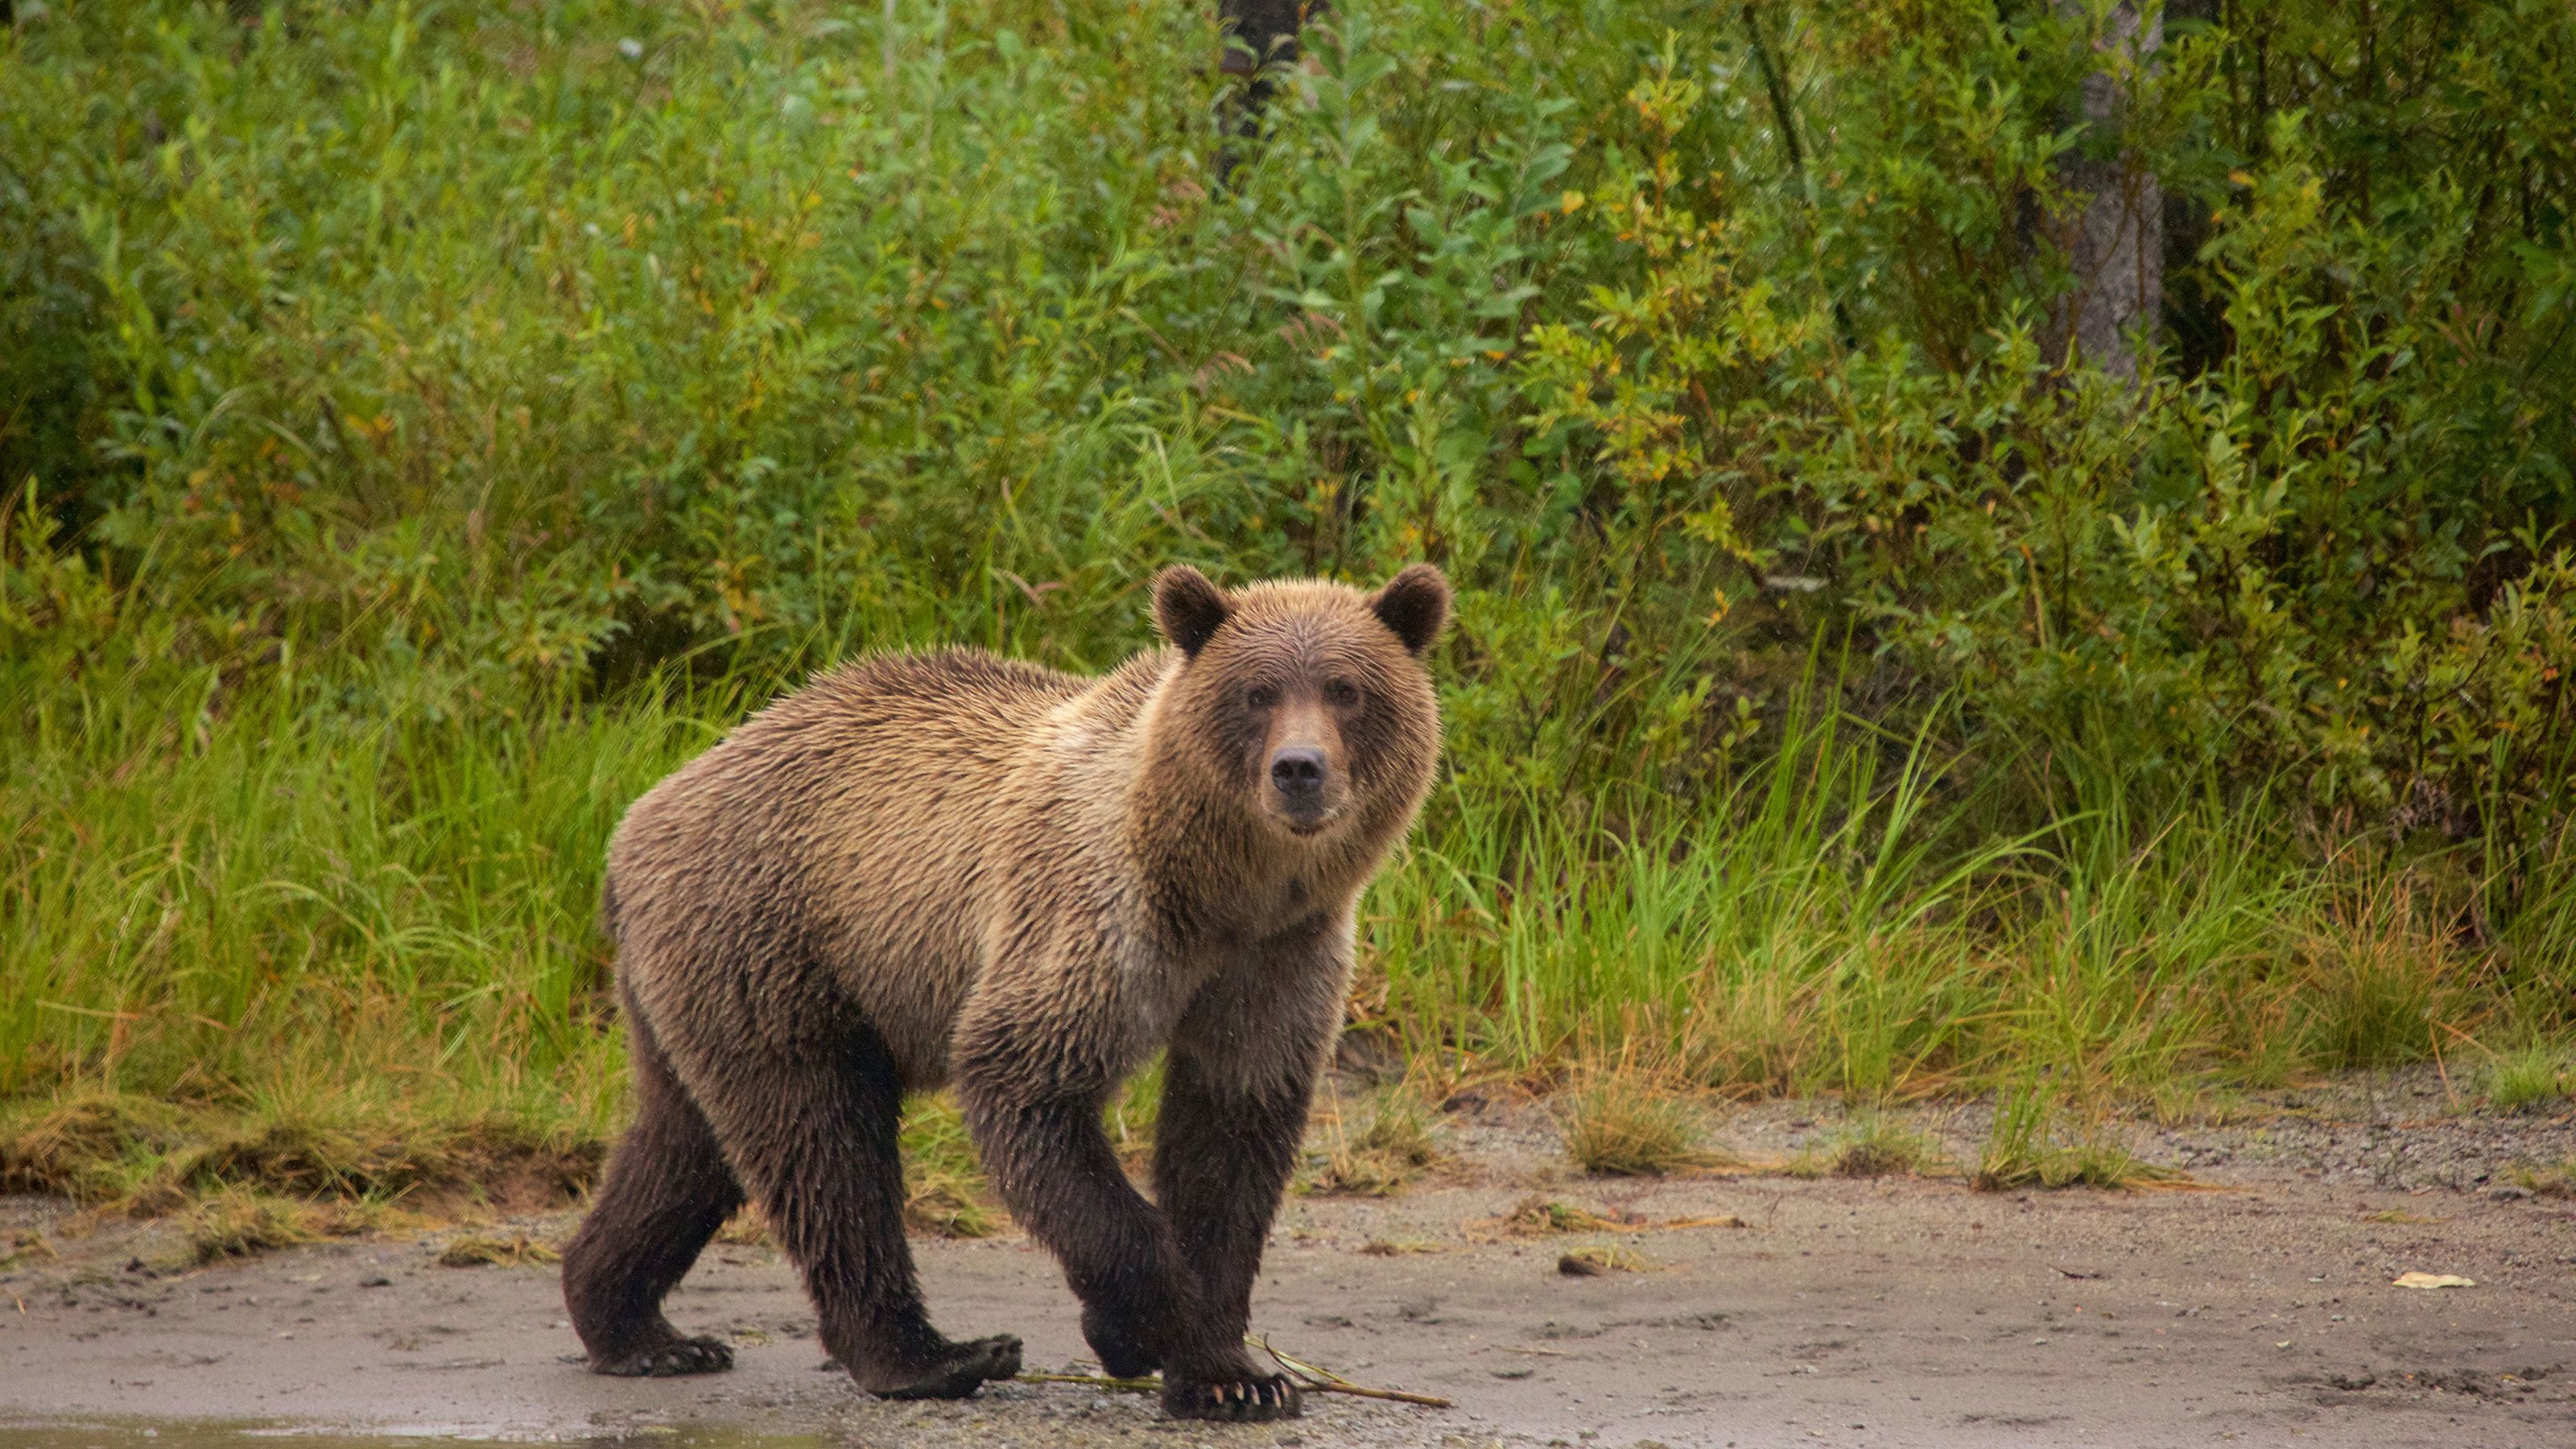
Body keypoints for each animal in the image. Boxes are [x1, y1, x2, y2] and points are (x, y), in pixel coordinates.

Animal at [559, 559, 1452, 1413]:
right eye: (1257, 692)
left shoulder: (1277, 958)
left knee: (686, 1143)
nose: (1298, 769)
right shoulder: (1095, 915)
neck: (1222, 892)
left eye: (1346, 689)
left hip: (704, 982)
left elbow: (1232, 1138)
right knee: (822, 1143)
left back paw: (638, 1326)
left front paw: (1230, 1374)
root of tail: (638, 821)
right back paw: (931, 1356)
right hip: (775, 937)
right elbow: (1025, 1082)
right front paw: (1148, 1335)